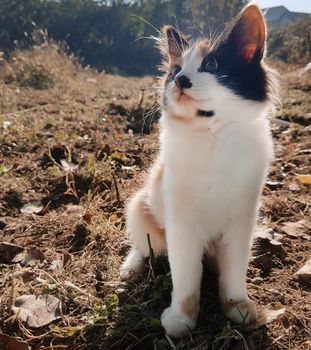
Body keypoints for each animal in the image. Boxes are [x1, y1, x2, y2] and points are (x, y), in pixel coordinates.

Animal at [120, 2, 278, 336]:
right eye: (175, 71)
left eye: (212, 65)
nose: (180, 80)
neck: (211, 136)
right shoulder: (181, 225)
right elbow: (186, 277)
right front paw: (181, 319)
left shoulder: (242, 220)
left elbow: (234, 270)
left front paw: (236, 305)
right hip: (139, 207)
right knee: (146, 247)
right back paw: (130, 268)